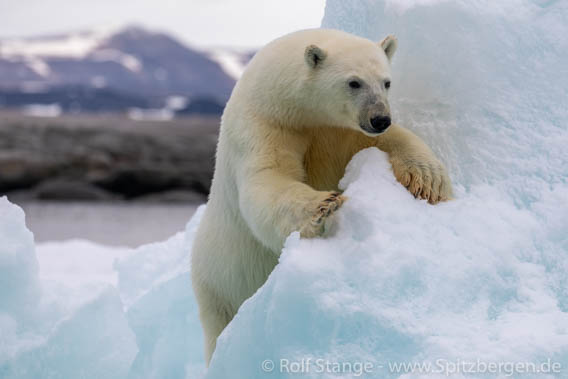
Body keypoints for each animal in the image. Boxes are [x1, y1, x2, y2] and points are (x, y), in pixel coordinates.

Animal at [191, 28, 452, 364]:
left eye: (386, 82)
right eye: (354, 82)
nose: (380, 118)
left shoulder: (338, 131)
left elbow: (390, 140)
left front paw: (429, 180)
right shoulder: (264, 124)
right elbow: (268, 178)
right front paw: (323, 206)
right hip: (220, 284)